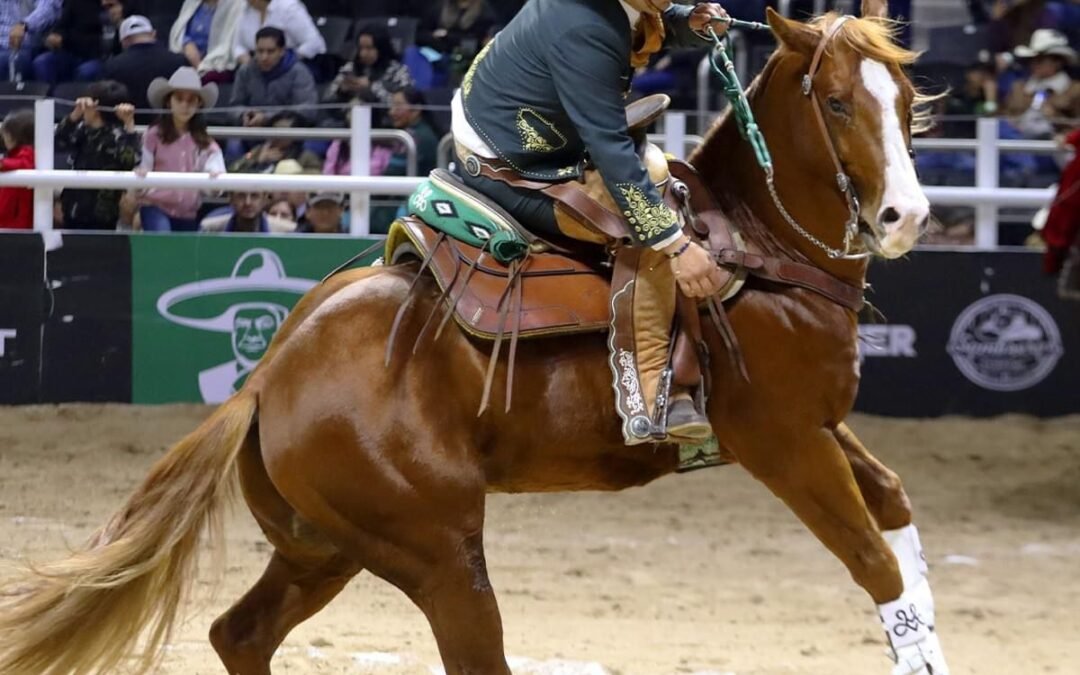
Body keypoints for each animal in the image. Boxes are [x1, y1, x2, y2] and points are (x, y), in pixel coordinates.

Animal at [0, 5, 950, 673]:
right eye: (837, 102)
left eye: (906, 101)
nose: (907, 217)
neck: (753, 245)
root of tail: (266, 379)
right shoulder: (779, 439)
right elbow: (876, 564)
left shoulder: (819, 426)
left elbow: (896, 506)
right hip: (438, 552)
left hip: (326, 547)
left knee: (241, 634)